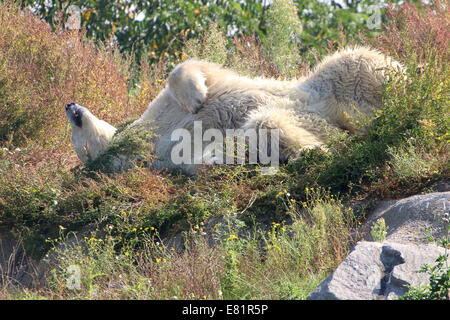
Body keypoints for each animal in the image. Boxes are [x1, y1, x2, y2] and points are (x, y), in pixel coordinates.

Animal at [65, 46, 402, 174]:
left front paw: (196, 98)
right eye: (78, 145)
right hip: (317, 119)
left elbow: (190, 70)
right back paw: (313, 151)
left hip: (324, 86)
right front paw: (217, 157)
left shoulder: (161, 109)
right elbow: (196, 156)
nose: (69, 105)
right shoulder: (161, 155)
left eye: (74, 132)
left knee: (357, 63)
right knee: (269, 123)